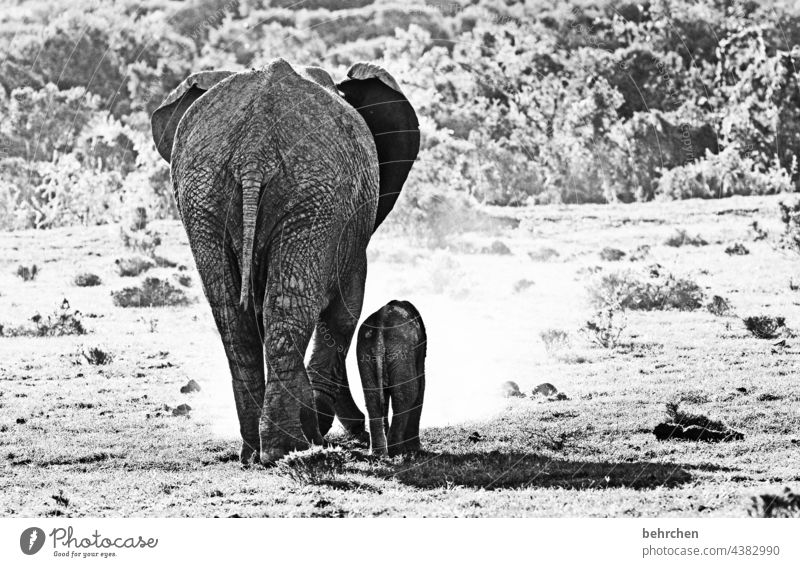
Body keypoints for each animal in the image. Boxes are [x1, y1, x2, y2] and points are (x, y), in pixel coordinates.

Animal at [358, 302, 428, 458]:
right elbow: (420, 386)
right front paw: (416, 449)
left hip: (365, 352)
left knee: (372, 397)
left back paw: (378, 453)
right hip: (401, 351)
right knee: (407, 394)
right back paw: (397, 452)